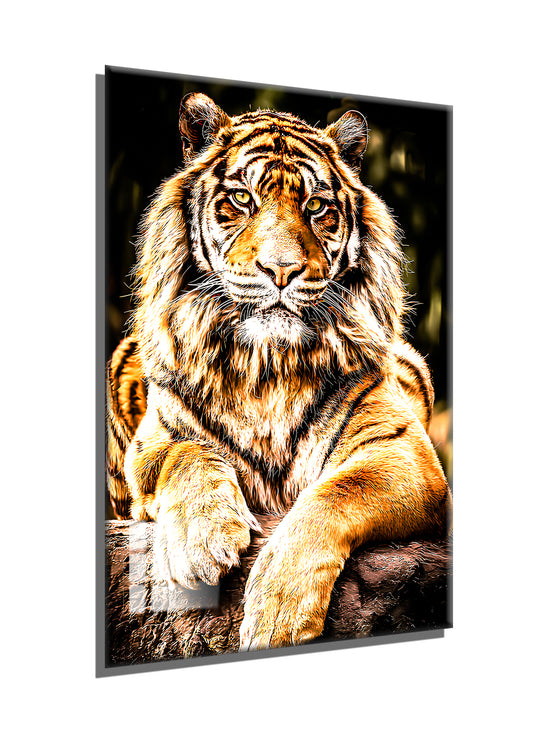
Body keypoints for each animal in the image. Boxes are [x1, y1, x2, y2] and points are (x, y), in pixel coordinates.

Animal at [106, 92, 452, 652]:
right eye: (242, 199)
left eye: (315, 206)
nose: (282, 270)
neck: (267, 363)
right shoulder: (153, 444)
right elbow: (188, 455)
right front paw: (203, 541)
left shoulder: (402, 450)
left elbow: (332, 495)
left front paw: (278, 617)